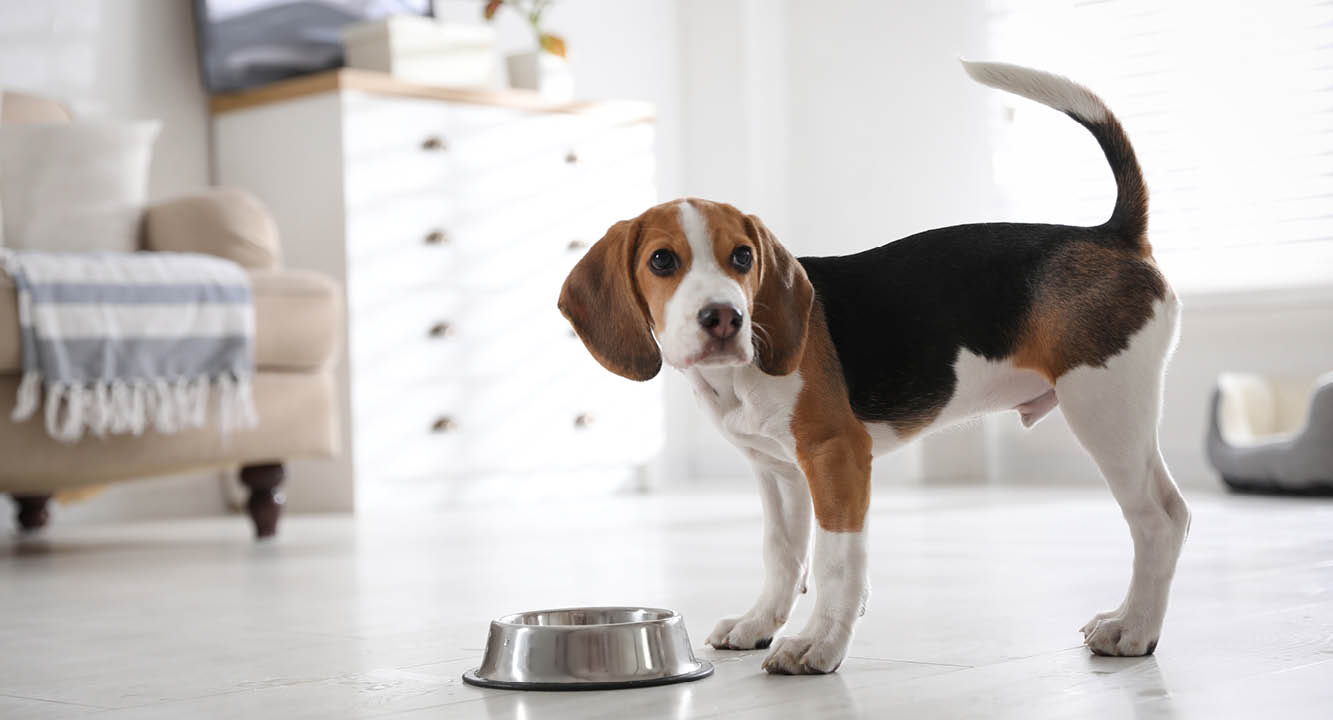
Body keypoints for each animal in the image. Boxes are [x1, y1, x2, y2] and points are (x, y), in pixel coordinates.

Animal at [557, 62, 1194, 674]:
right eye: (662, 261)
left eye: (742, 257)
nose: (724, 318)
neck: (738, 378)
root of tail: (1112, 235)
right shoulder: (779, 471)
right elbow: (783, 554)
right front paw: (760, 623)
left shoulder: (836, 454)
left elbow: (836, 560)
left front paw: (817, 644)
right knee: (1168, 513)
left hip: (1104, 408)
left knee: (1159, 520)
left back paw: (1133, 630)